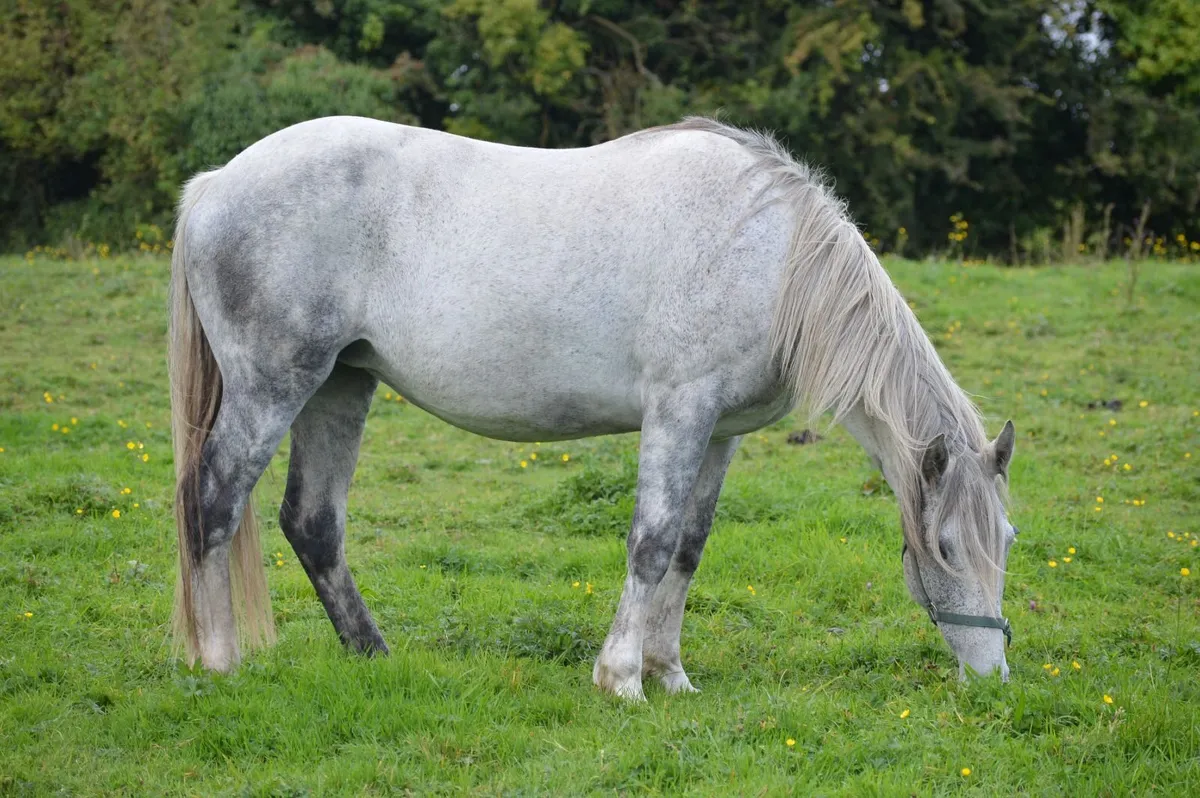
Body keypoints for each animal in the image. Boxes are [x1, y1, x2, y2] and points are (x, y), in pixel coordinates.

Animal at [169, 116, 1017, 700]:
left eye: (1006, 538)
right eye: (945, 547)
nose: (993, 675)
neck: (771, 259)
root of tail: (214, 183)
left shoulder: (720, 434)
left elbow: (689, 548)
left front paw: (670, 675)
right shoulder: (679, 411)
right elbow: (651, 540)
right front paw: (622, 679)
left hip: (340, 386)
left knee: (313, 522)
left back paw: (373, 657)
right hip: (274, 387)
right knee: (213, 502)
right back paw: (219, 663)